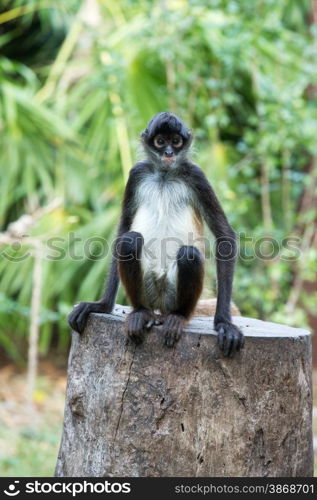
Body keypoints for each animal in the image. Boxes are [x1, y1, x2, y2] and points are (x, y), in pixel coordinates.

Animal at [68, 112, 243, 356]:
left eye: (176, 141)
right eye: (160, 142)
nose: (169, 153)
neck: (164, 175)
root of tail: (160, 306)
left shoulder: (196, 175)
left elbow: (224, 234)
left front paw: (224, 323)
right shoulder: (137, 172)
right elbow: (123, 231)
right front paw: (102, 305)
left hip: (171, 295)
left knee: (188, 254)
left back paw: (178, 317)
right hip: (148, 290)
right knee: (131, 241)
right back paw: (141, 313)